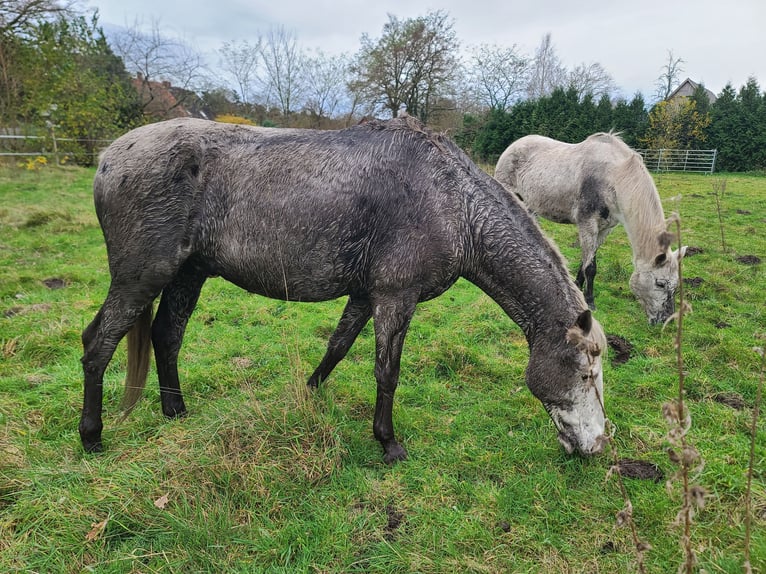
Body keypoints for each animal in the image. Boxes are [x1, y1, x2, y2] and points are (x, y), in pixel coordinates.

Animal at [81, 116, 608, 464]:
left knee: (167, 336)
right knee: (98, 345)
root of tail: (110, 157)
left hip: (188, 273)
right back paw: (92, 436)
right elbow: (386, 372)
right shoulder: (395, 298)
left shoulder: (364, 295)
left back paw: (176, 413)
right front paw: (388, 443)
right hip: (140, 277)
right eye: (585, 376)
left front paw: (309, 394)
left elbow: (337, 347)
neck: (452, 202)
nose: (598, 444)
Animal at [498, 132, 688, 326]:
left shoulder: (604, 230)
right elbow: (590, 267)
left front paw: (577, 286)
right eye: (660, 284)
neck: (614, 177)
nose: (666, 320)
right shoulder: (588, 224)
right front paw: (589, 300)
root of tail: (513, 146)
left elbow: (585, 261)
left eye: (675, 286)